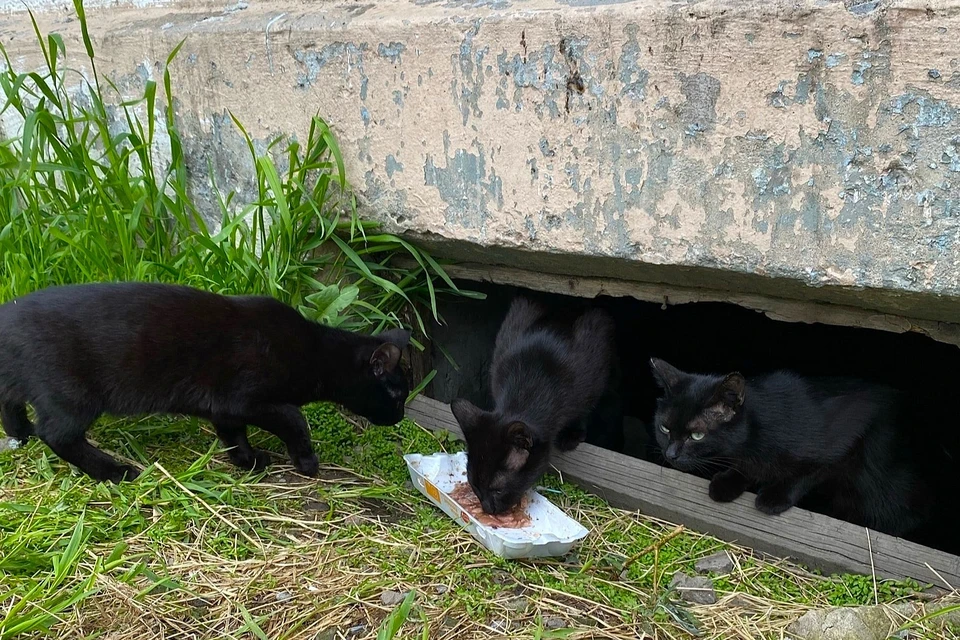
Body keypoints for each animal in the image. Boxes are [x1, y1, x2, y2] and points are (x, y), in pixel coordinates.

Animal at [0, 282, 408, 482]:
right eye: (398, 393)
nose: (402, 416)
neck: (314, 351)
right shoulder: (244, 400)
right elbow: (294, 419)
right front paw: (306, 461)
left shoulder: (224, 407)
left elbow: (233, 434)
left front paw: (247, 461)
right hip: (73, 395)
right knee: (58, 434)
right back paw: (114, 471)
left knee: (12, 405)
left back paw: (20, 433)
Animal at [448, 298, 616, 516]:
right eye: (474, 485)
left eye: (498, 490)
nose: (487, 509)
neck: (532, 383)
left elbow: (586, 409)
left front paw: (572, 435)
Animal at [648, 358, 932, 536]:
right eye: (664, 429)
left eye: (696, 435)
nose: (670, 454)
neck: (760, 432)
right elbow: (746, 466)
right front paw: (728, 482)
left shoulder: (847, 438)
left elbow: (808, 473)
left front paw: (774, 496)